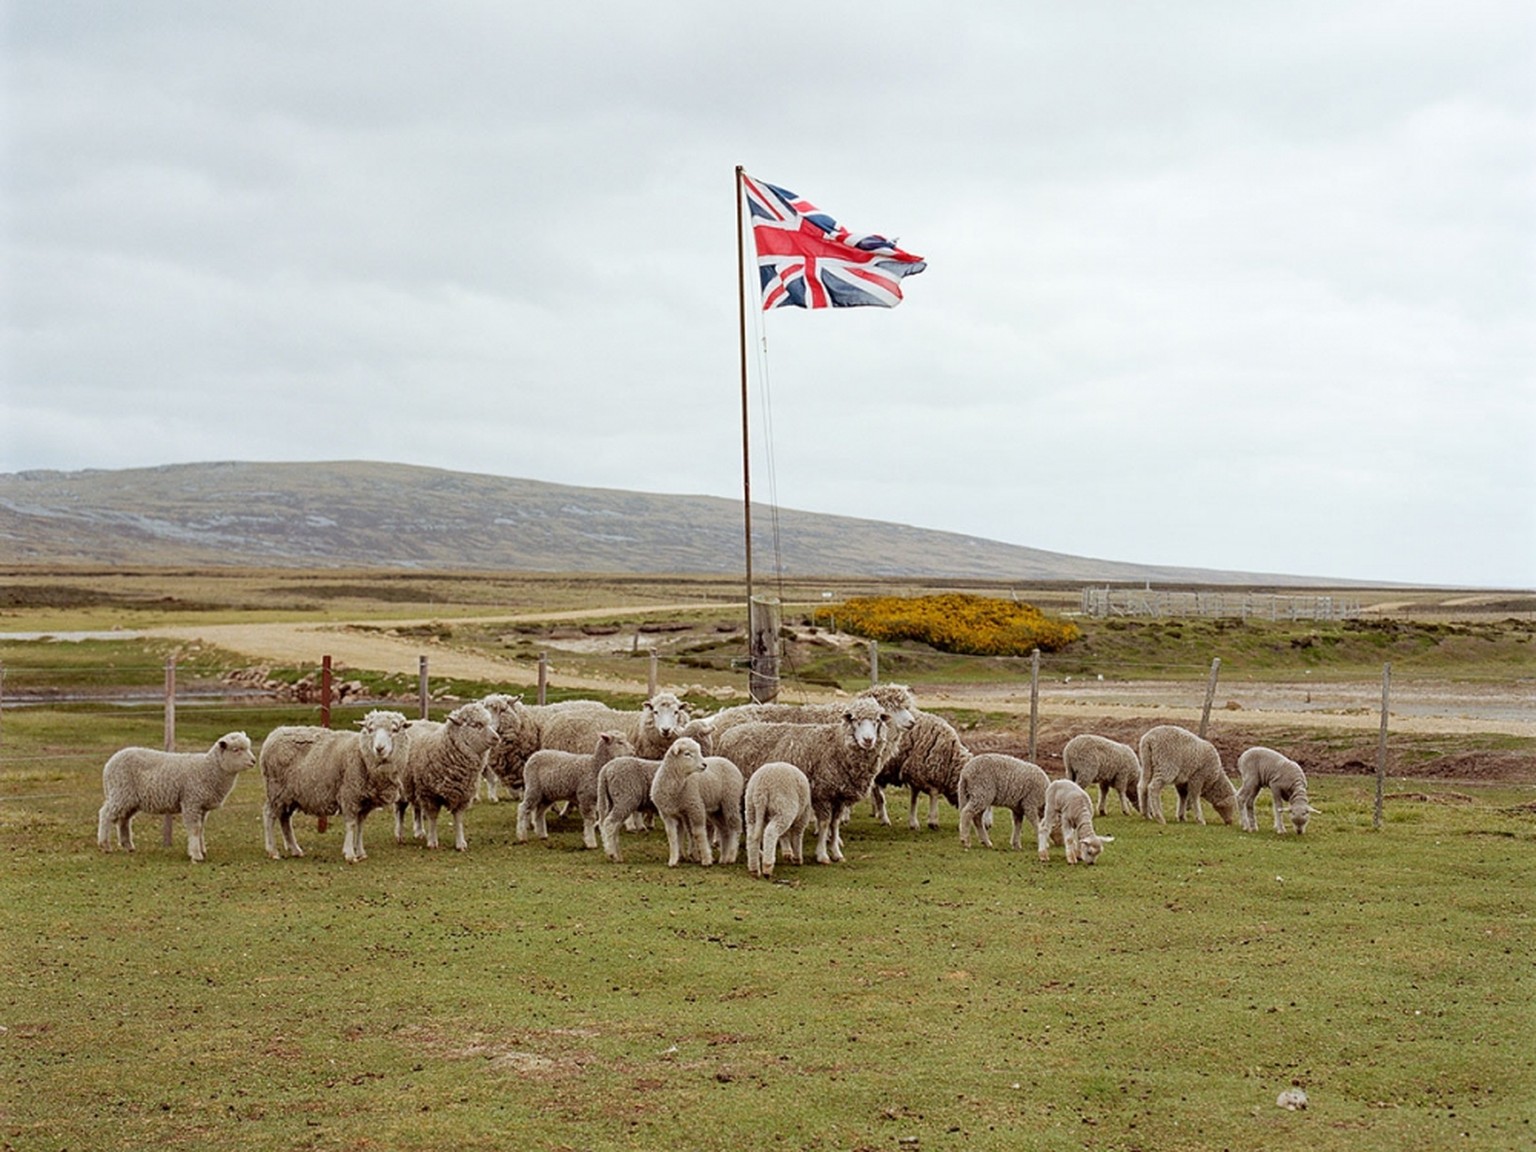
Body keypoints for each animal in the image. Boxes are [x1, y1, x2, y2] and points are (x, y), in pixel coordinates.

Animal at [96, 734, 254, 860]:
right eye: (236, 750)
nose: (253, 761)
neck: (209, 769)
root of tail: (110, 763)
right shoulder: (191, 802)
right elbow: (195, 829)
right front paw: (196, 855)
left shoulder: (202, 807)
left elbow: (201, 829)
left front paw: (202, 850)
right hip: (120, 792)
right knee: (106, 814)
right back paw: (104, 845)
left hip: (129, 799)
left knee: (124, 819)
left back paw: (128, 846)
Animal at [262, 712, 414, 866]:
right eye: (370, 730)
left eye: (395, 730)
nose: (379, 748)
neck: (361, 754)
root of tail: (275, 733)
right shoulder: (349, 794)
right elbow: (351, 825)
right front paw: (350, 854)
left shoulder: (365, 802)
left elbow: (360, 826)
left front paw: (361, 852)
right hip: (276, 789)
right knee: (269, 814)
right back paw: (273, 851)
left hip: (290, 794)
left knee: (285, 818)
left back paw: (295, 849)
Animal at [396, 700, 497, 854]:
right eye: (476, 725)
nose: (497, 738)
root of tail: (414, 722)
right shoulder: (429, 794)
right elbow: (432, 818)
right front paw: (432, 841)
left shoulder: (462, 795)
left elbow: (458, 820)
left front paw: (460, 843)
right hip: (403, 786)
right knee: (400, 810)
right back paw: (399, 835)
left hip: (414, 785)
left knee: (417, 808)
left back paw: (419, 832)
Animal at [715, 694, 897, 866]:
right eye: (855, 720)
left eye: (877, 720)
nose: (868, 740)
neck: (837, 745)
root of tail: (728, 734)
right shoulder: (823, 794)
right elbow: (824, 824)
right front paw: (822, 855)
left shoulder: (838, 796)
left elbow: (835, 824)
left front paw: (836, 853)